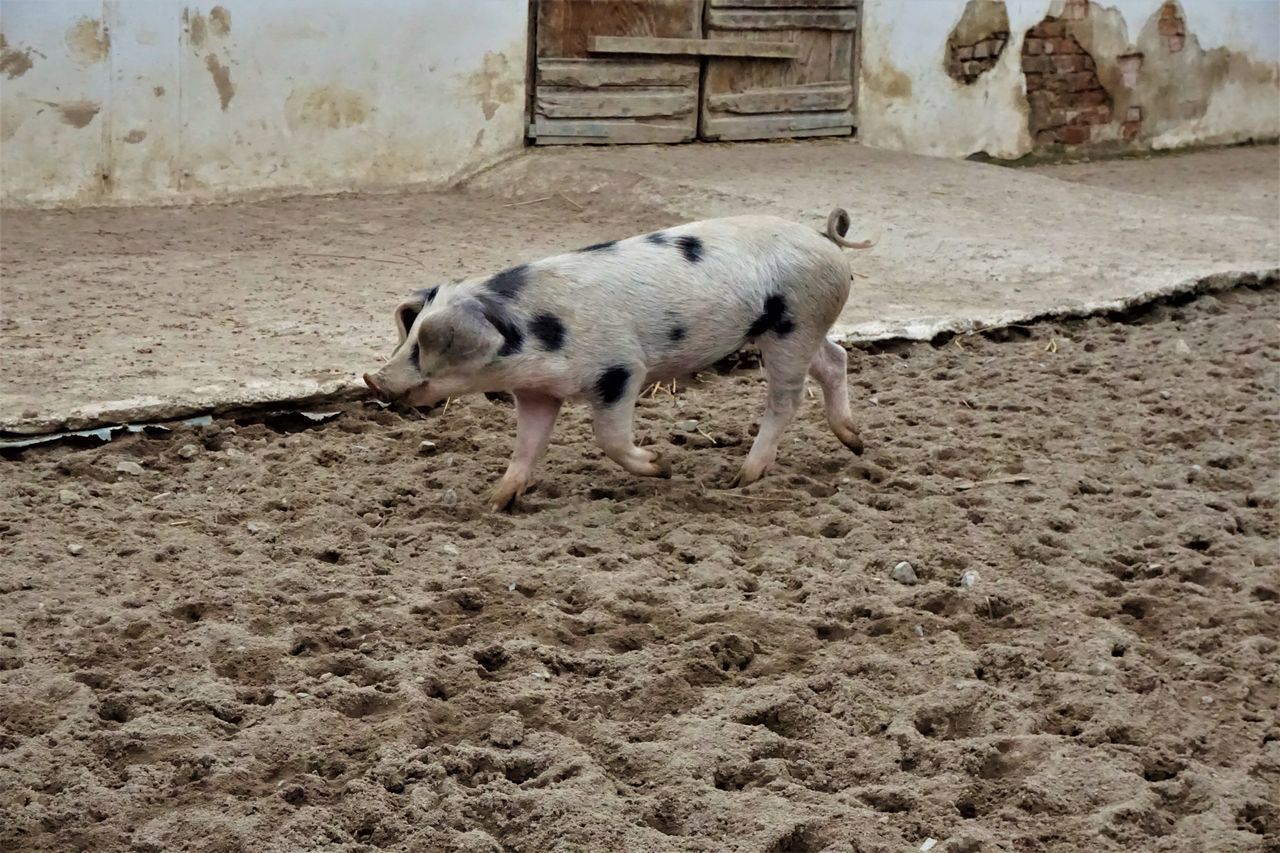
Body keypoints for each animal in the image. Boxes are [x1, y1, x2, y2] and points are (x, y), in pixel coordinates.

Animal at [366, 206, 875, 507]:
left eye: (423, 347)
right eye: (407, 340)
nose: (375, 379)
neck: (532, 337)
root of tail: (825, 240)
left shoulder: (620, 370)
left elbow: (608, 438)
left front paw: (662, 467)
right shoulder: (536, 392)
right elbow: (527, 445)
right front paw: (496, 501)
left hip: (793, 324)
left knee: (787, 399)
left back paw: (740, 480)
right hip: (797, 329)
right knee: (835, 359)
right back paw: (855, 443)